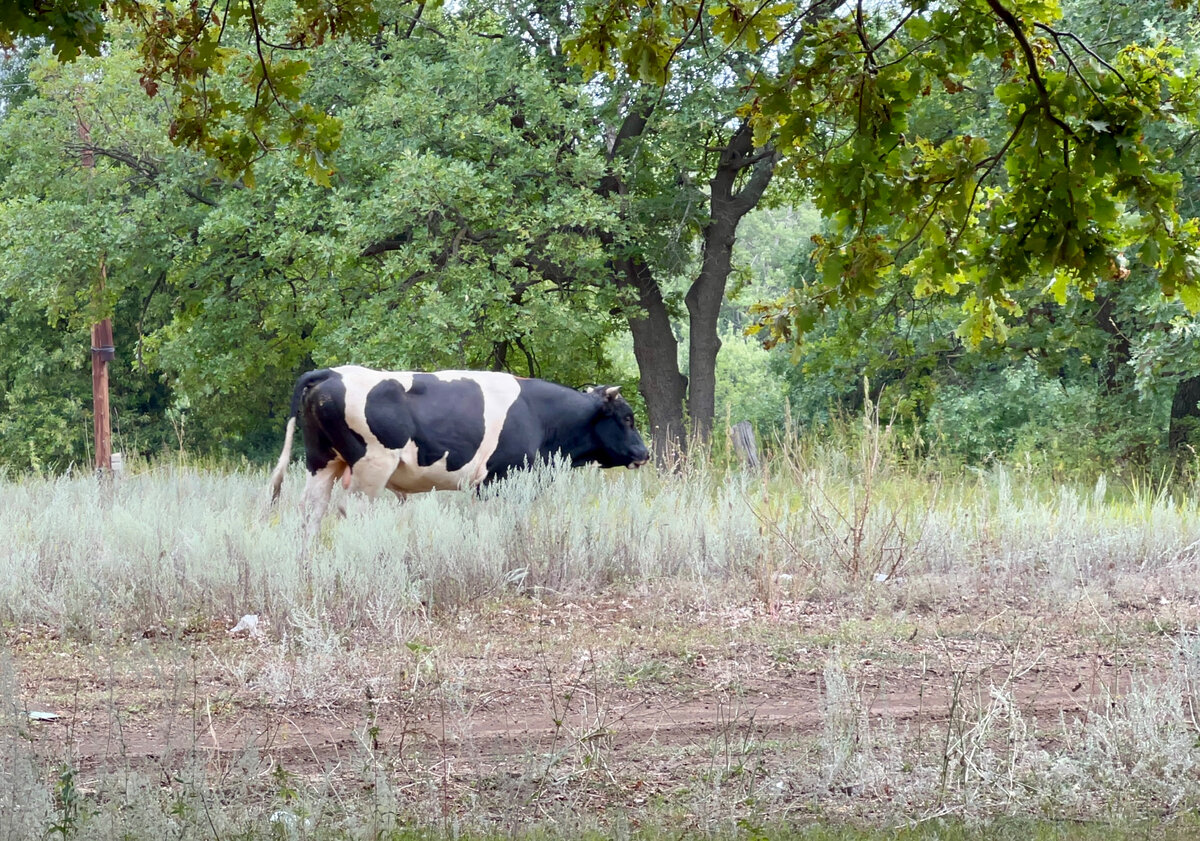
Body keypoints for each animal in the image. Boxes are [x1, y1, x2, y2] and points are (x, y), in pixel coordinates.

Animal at [268, 364, 652, 537]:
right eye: (627, 418)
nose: (644, 453)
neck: (538, 414)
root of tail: (332, 372)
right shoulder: (502, 478)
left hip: (322, 461)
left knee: (311, 510)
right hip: (371, 467)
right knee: (352, 510)